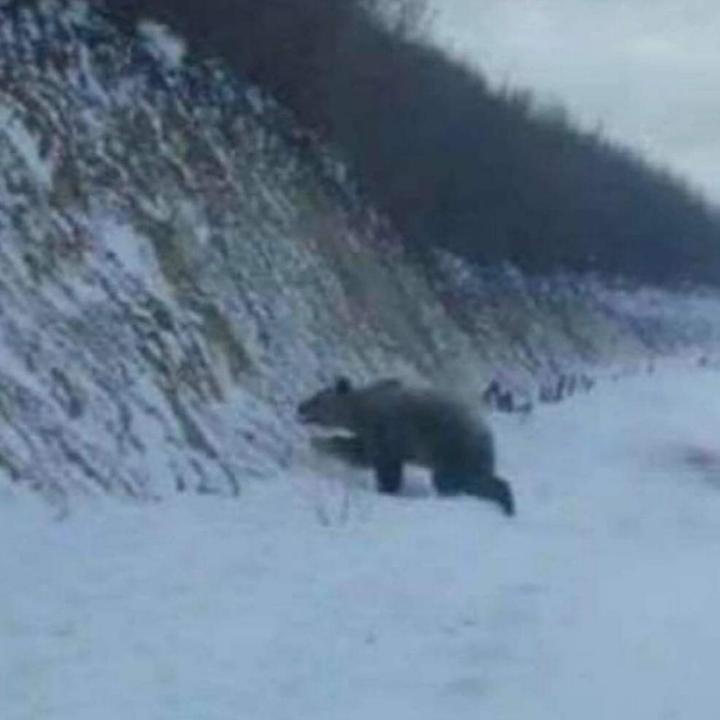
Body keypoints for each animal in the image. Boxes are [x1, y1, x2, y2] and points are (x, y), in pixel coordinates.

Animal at [296, 380, 516, 516]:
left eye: (317, 399)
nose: (300, 406)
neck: (361, 411)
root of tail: (486, 433)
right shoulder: (382, 438)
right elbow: (362, 451)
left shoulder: (385, 432)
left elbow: (370, 459)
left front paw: (317, 444)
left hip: (453, 448)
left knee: (458, 480)